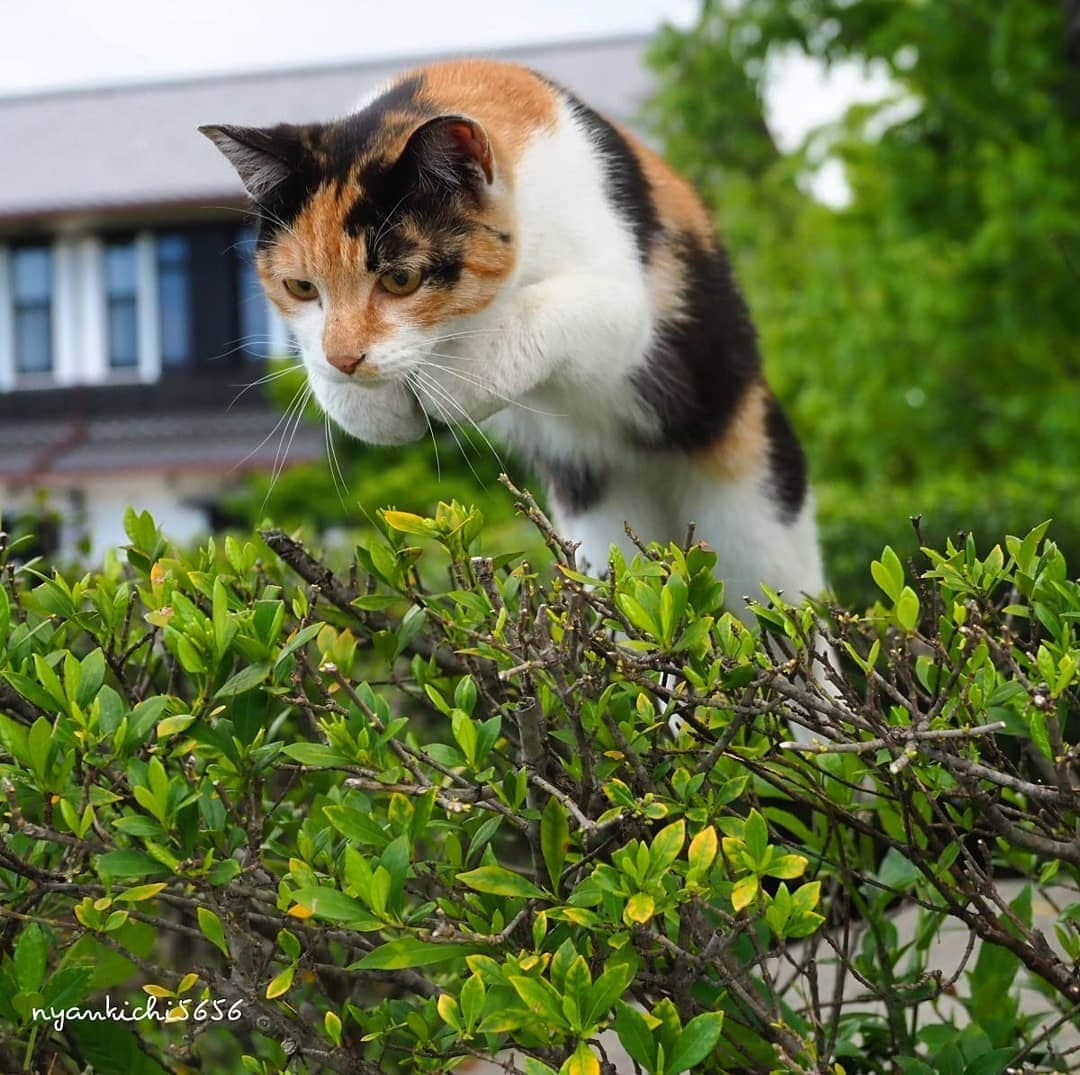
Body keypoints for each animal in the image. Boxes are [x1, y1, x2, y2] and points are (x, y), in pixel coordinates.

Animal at [203, 58, 825, 622]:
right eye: (301, 287)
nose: (347, 356)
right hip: (604, 525)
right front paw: (366, 399)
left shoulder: (628, 312)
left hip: (754, 518)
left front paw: (449, 380)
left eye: (401, 280)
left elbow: (546, 314)